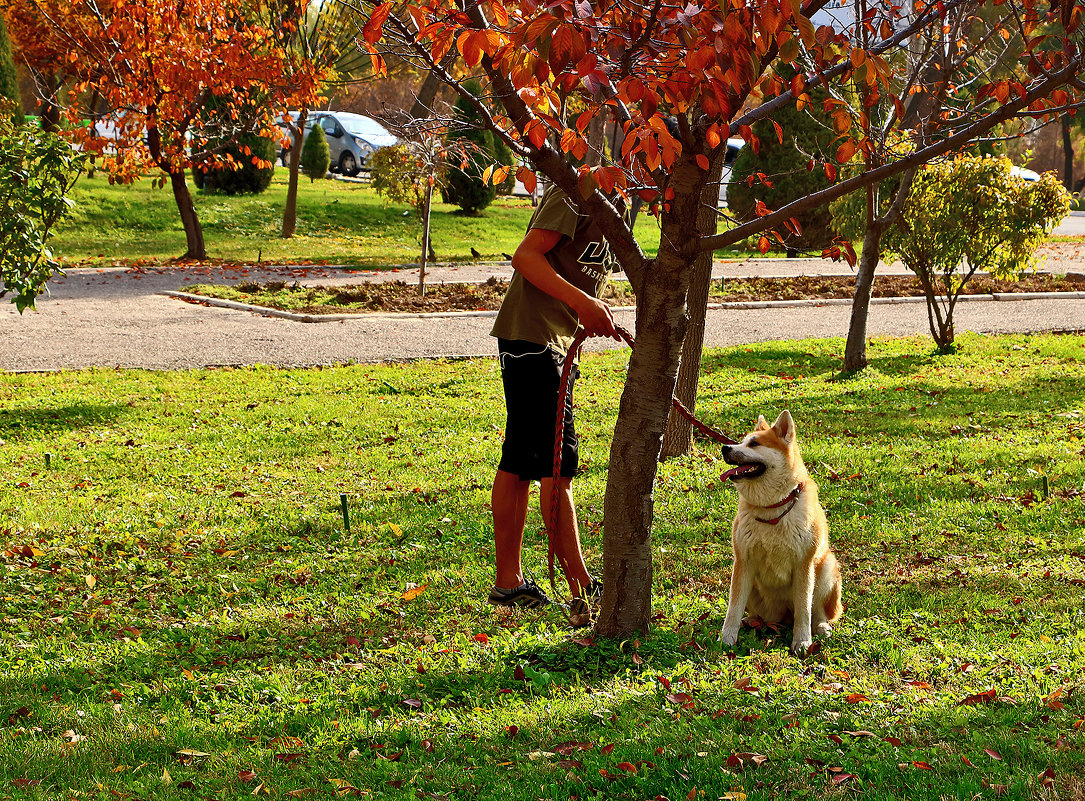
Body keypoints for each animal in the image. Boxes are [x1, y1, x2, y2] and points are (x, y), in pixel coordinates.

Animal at [720, 408, 837, 651]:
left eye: (754, 443)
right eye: (741, 441)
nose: (725, 448)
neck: (772, 509)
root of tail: (781, 617)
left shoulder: (804, 565)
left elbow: (804, 609)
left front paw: (802, 640)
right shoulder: (743, 561)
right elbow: (733, 607)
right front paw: (727, 638)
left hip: (826, 569)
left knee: (817, 612)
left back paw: (821, 627)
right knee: (758, 613)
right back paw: (752, 620)